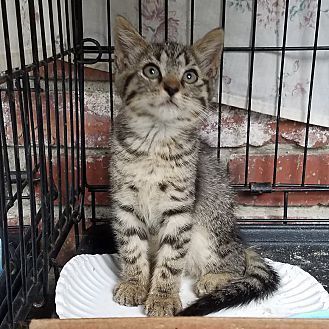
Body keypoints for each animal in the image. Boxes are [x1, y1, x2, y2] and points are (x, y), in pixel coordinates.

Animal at [110, 15, 280, 316]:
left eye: (190, 76)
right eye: (151, 71)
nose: (172, 87)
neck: (156, 140)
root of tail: (238, 238)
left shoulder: (180, 209)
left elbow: (171, 261)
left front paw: (163, 297)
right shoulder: (125, 202)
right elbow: (131, 247)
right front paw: (133, 283)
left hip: (211, 226)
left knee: (235, 262)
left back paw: (216, 277)